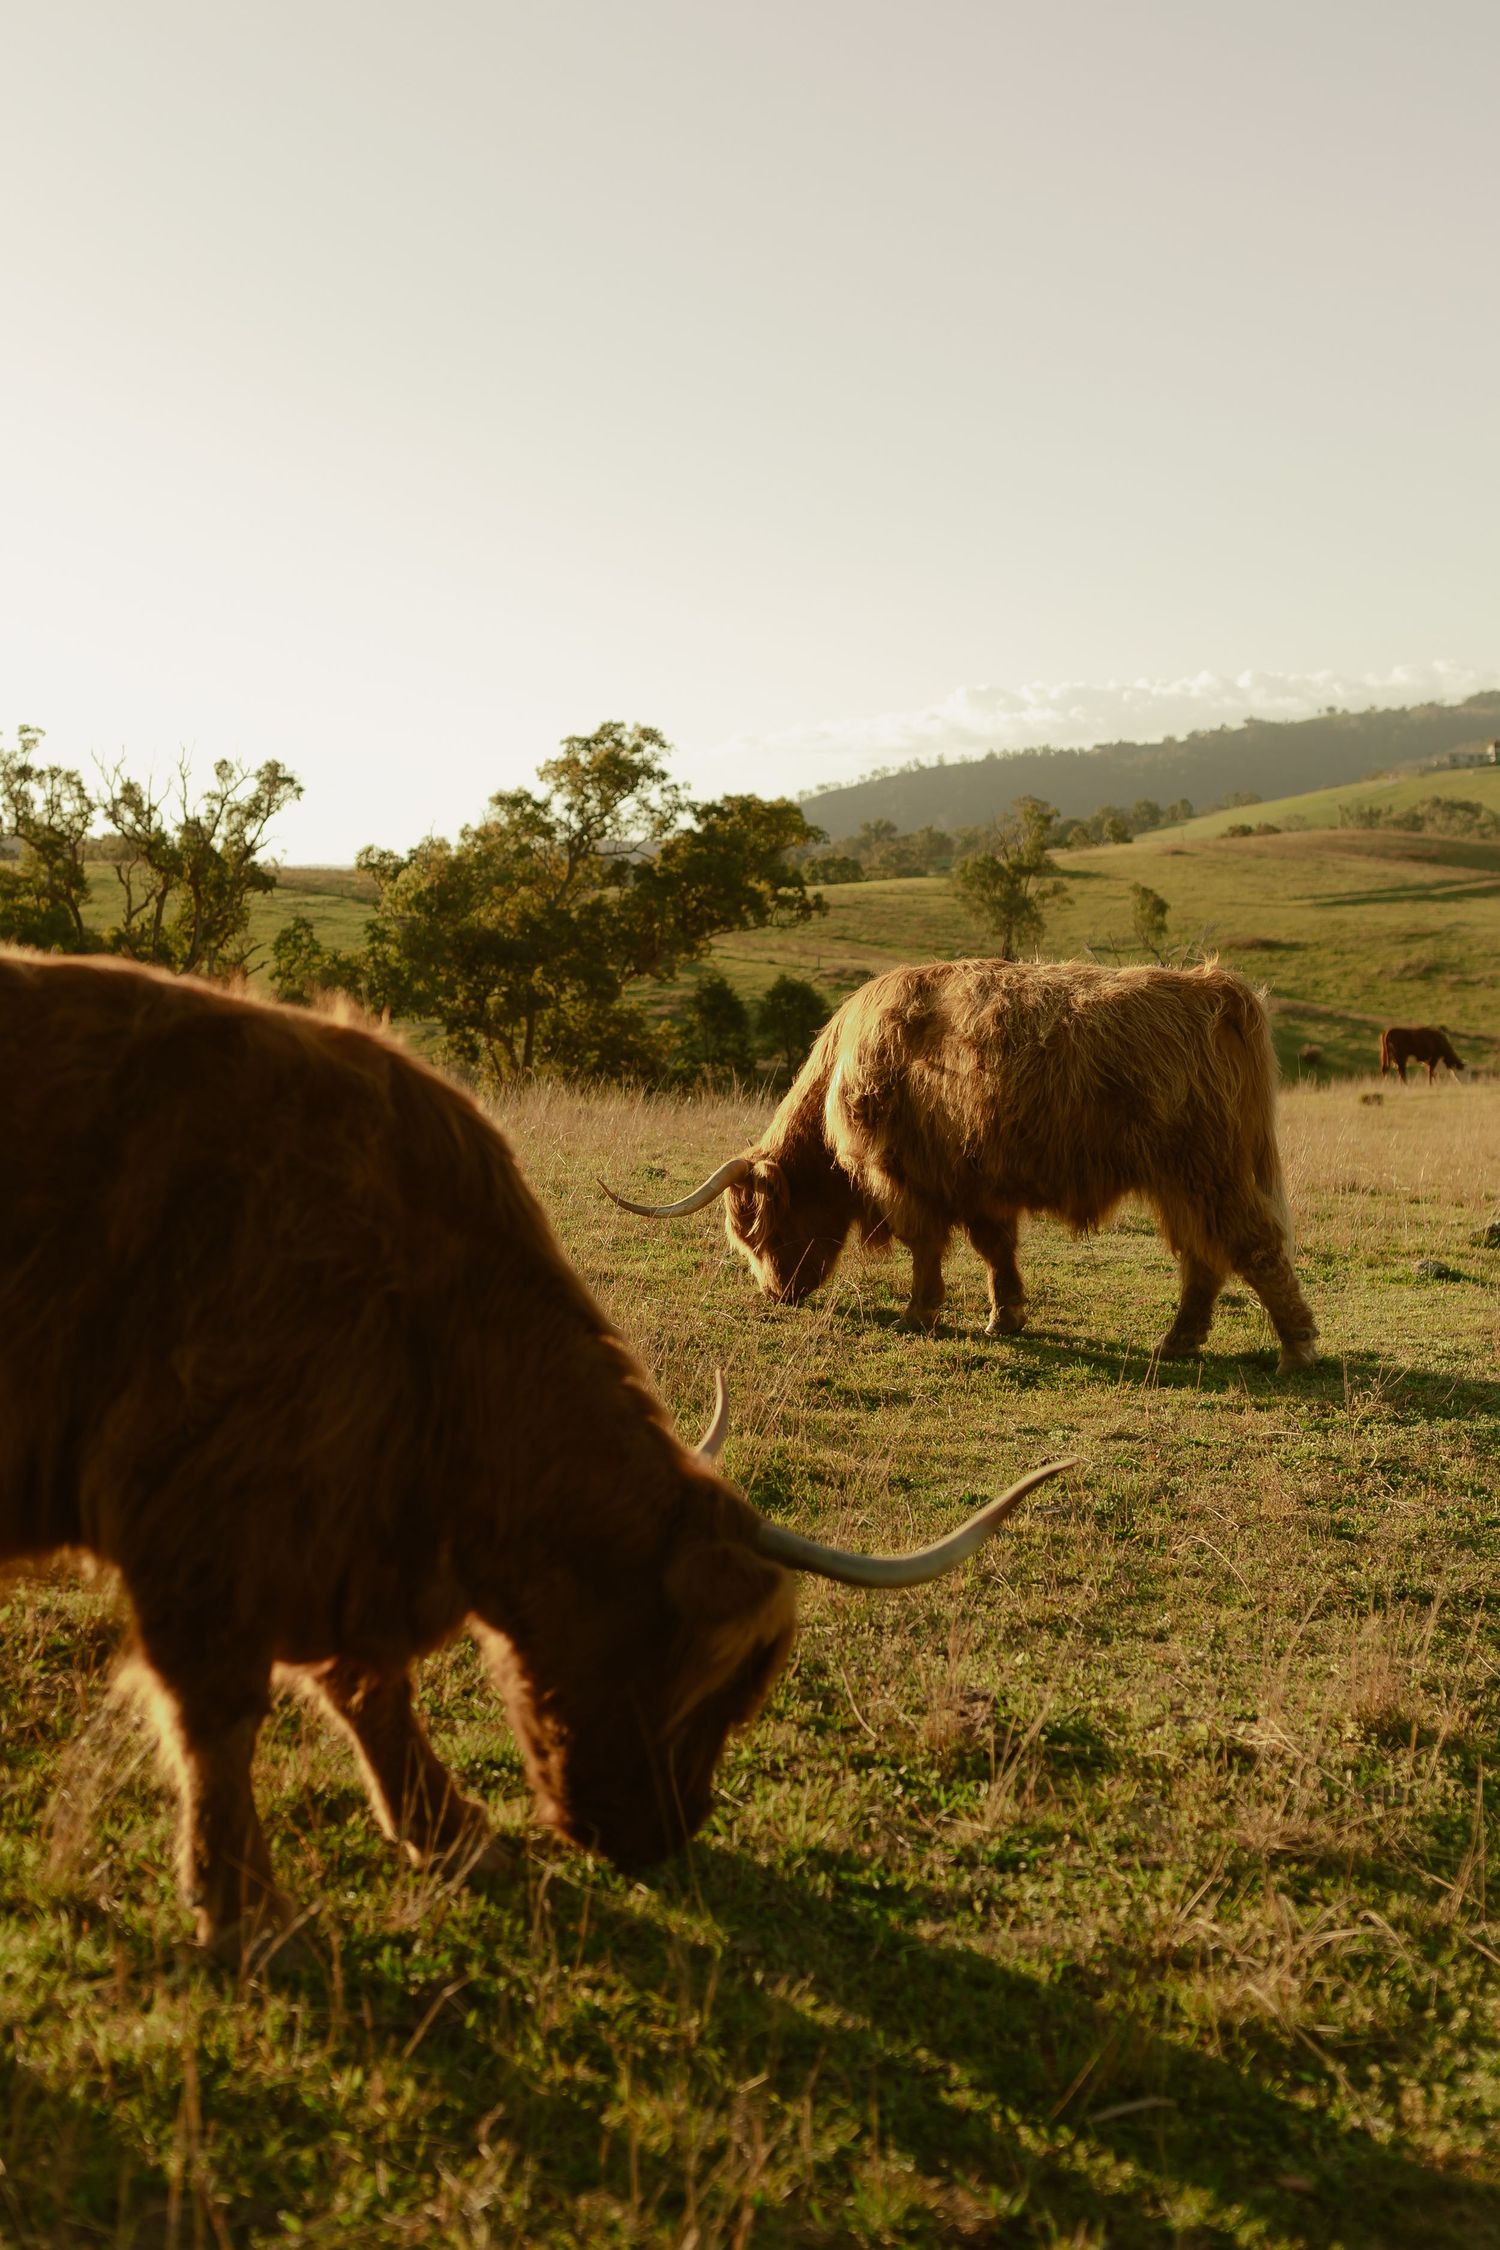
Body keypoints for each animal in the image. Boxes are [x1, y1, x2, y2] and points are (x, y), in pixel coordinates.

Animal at [0, 949, 1071, 1960]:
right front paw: (248, 1911)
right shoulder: (202, 1522)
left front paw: (451, 1833)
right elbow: (224, 1720)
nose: (665, 1839)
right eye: (720, 1678)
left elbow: (370, 1687)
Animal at [605, 958, 1319, 1373]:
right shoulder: (976, 1181)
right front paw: (1005, 1316)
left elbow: (926, 1244)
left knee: (1253, 1246)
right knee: (1203, 1257)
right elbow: (995, 1249)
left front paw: (919, 1313)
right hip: (1181, 1180)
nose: (776, 1293)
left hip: (1206, 1169)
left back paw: (1297, 1348)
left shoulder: (905, 1175)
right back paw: (1178, 1342)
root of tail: (1216, 989)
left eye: (760, 1231)